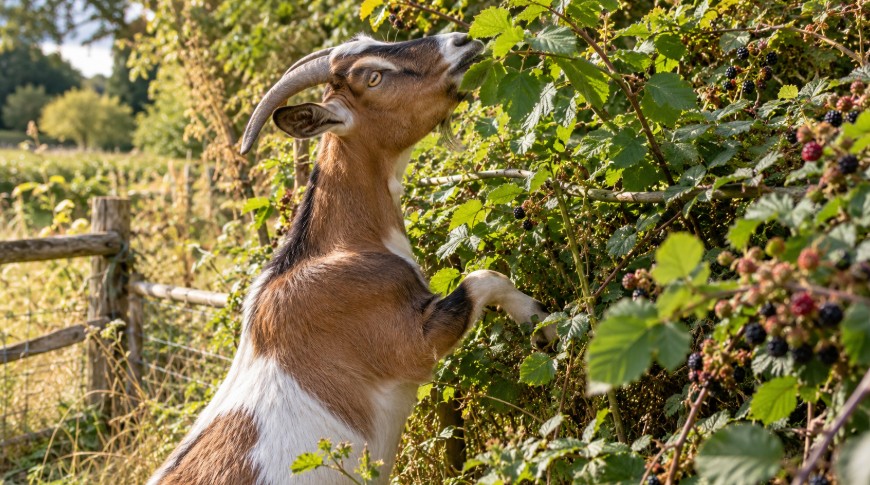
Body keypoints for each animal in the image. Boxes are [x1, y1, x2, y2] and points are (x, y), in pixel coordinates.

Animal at [148, 33, 555, 485]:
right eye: (373, 77)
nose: (461, 41)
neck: (342, 248)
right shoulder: (410, 345)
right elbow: (484, 278)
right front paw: (543, 326)